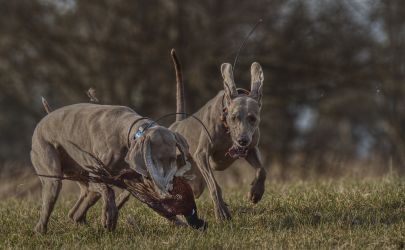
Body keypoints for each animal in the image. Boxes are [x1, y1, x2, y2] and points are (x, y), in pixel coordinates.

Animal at [30, 101, 192, 232]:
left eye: (172, 159)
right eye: (155, 159)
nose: (168, 188)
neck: (127, 133)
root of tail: (43, 120)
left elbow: (156, 205)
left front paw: (181, 224)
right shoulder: (98, 177)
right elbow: (109, 191)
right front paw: (109, 217)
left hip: (81, 178)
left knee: (76, 211)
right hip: (52, 176)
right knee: (49, 208)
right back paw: (40, 230)